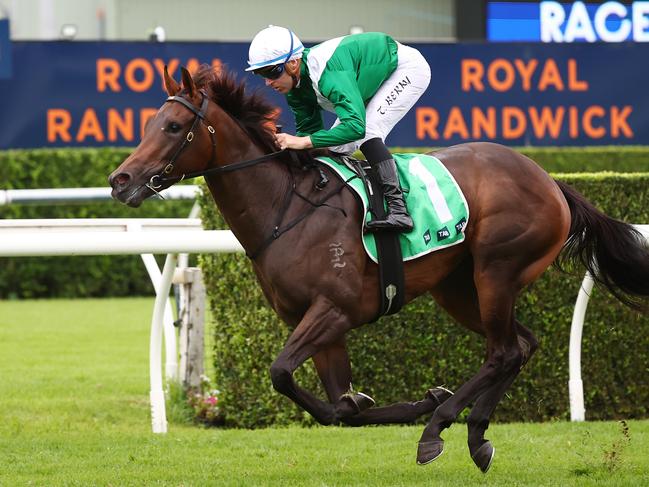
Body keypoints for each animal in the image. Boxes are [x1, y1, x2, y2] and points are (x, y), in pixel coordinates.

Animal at [109, 66, 644, 472]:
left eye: (173, 127)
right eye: (150, 124)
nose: (120, 179)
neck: (287, 210)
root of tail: (552, 182)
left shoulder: (334, 309)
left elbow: (281, 373)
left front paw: (424, 406)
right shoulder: (318, 325)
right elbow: (339, 409)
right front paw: (379, 401)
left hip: (497, 271)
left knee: (503, 351)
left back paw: (438, 428)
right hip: (459, 288)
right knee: (520, 346)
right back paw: (475, 434)